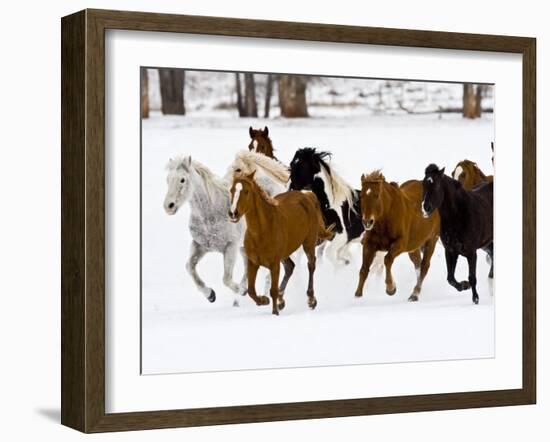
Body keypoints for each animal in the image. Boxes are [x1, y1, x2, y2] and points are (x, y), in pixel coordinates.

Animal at [164, 157, 246, 306]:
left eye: (182, 179)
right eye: (168, 179)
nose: (168, 206)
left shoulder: (231, 246)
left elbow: (226, 279)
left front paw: (242, 290)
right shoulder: (200, 246)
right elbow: (189, 267)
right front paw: (210, 295)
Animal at [227, 172, 332, 314]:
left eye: (246, 191)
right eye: (231, 190)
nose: (233, 213)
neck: (262, 231)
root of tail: (307, 195)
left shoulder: (274, 264)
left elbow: (273, 290)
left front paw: (275, 312)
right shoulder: (253, 263)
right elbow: (251, 291)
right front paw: (264, 300)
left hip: (308, 243)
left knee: (311, 265)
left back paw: (311, 300)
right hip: (286, 253)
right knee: (290, 267)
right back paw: (282, 301)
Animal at [356, 171, 442, 302]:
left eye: (377, 195)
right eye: (361, 196)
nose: (367, 222)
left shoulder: (400, 244)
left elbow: (387, 260)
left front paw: (391, 288)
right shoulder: (369, 244)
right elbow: (364, 268)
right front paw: (357, 295)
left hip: (431, 240)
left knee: (424, 266)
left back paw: (415, 294)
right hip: (414, 247)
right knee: (417, 262)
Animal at [422, 164, 496, 306]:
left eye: (437, 185)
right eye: (423, 185)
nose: (425, 208)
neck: (458, 216)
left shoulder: (471, 253)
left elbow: (472, 277)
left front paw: (475, 299)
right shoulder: (451, 251)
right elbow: (450, 278)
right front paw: (464, 285)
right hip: (487, 244)